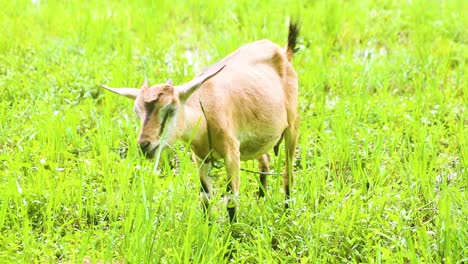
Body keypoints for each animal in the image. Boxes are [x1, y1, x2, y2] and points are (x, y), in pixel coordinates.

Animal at [102, 21, 300, 223]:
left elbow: (231, 198)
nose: (144, 145)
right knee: (265, 161)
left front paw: (233, 230)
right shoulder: (200, 157)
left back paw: (287, 212)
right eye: (137, 112)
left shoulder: (232, 152)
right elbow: (205, 197)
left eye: (170, 109)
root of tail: (283, 52)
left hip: (292, 125)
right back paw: (261, 200)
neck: (204, 114)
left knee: (288, 173)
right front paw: (208, 226)